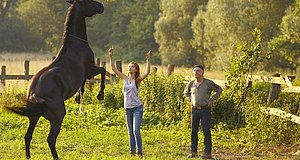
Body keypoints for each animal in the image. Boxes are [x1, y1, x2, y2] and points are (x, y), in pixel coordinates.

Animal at [4, 0, 105, 159]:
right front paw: (100, 94)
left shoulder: (84, 75)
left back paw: (28, 156)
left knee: (27, 136)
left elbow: (83, 85)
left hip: (34, 117)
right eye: (89, 2)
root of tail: (35, 94)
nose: (101, 6)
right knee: (51, 139)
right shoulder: (90, 70)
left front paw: (78, 98)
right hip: (58, 116)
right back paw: (56, 156)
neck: (76, 44)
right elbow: (103, 71)